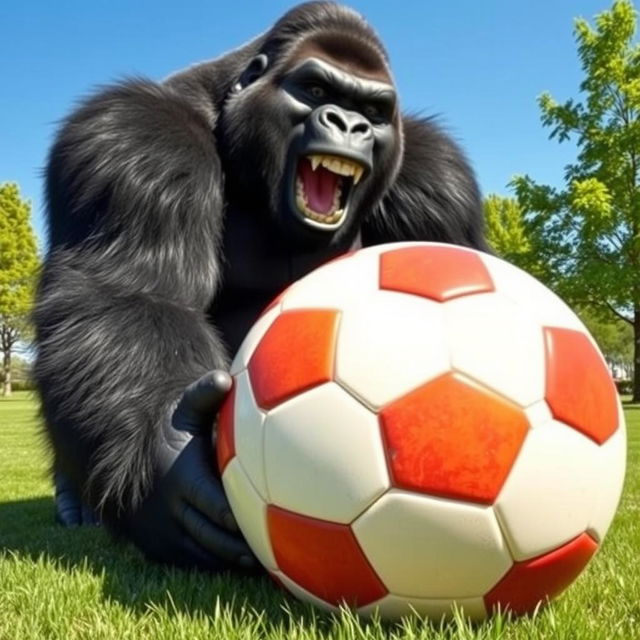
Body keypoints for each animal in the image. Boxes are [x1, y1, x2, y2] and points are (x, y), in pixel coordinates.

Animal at [35, 2, 484, 572]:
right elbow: (129, 297)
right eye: (314, 90)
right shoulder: (133, 137)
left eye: (373, 110)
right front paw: (166, 467)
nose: (349, 123)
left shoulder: (438, 177)